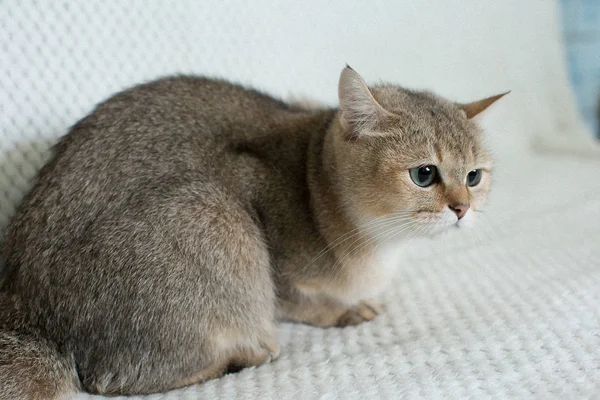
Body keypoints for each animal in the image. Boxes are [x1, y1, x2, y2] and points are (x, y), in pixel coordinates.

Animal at [0, 65, 506, 396]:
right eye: (424, 174)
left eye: (474, 177)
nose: (462, 209)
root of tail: (27, 311)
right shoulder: (253, 201)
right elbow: (300, 301)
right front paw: (344, 310)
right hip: (214, 215)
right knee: (112, 379)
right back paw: (243, 356)